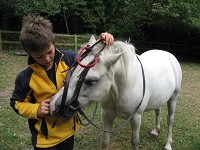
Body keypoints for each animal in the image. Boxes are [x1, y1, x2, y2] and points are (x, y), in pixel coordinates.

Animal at [49, 35, 181, 149]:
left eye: (91, 81)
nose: (54, 105)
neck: (121, 89)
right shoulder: (107, 115)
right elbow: (105, 141)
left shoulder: (136, 118)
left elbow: (134, 142)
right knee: (158, 110)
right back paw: (155, 131)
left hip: (173, 97)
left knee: (170, 119)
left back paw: (168, 144)